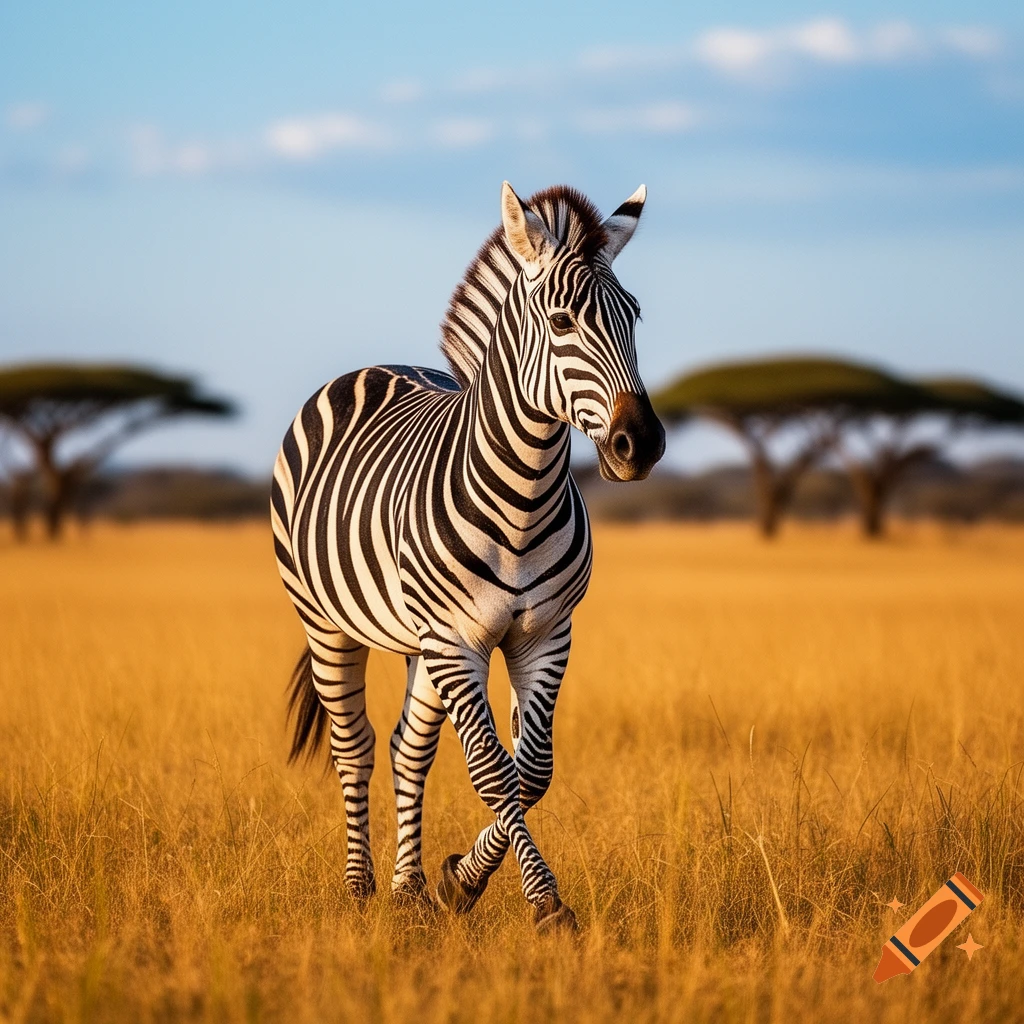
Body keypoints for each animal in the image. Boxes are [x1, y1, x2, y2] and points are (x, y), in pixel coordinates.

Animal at [271, 182, 665, 930]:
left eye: (635, 316)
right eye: (561, 321)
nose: (643, 444)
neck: (522, 500)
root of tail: (376, 367)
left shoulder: (545, 635)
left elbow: (530, 770)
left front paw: (459, 880)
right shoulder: (456, 641)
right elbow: (491, 769)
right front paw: (543, 904)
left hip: (421, 645)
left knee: (408, 749)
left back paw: (408, 889)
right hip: (327, 622)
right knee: (355, 747)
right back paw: (361, 887)